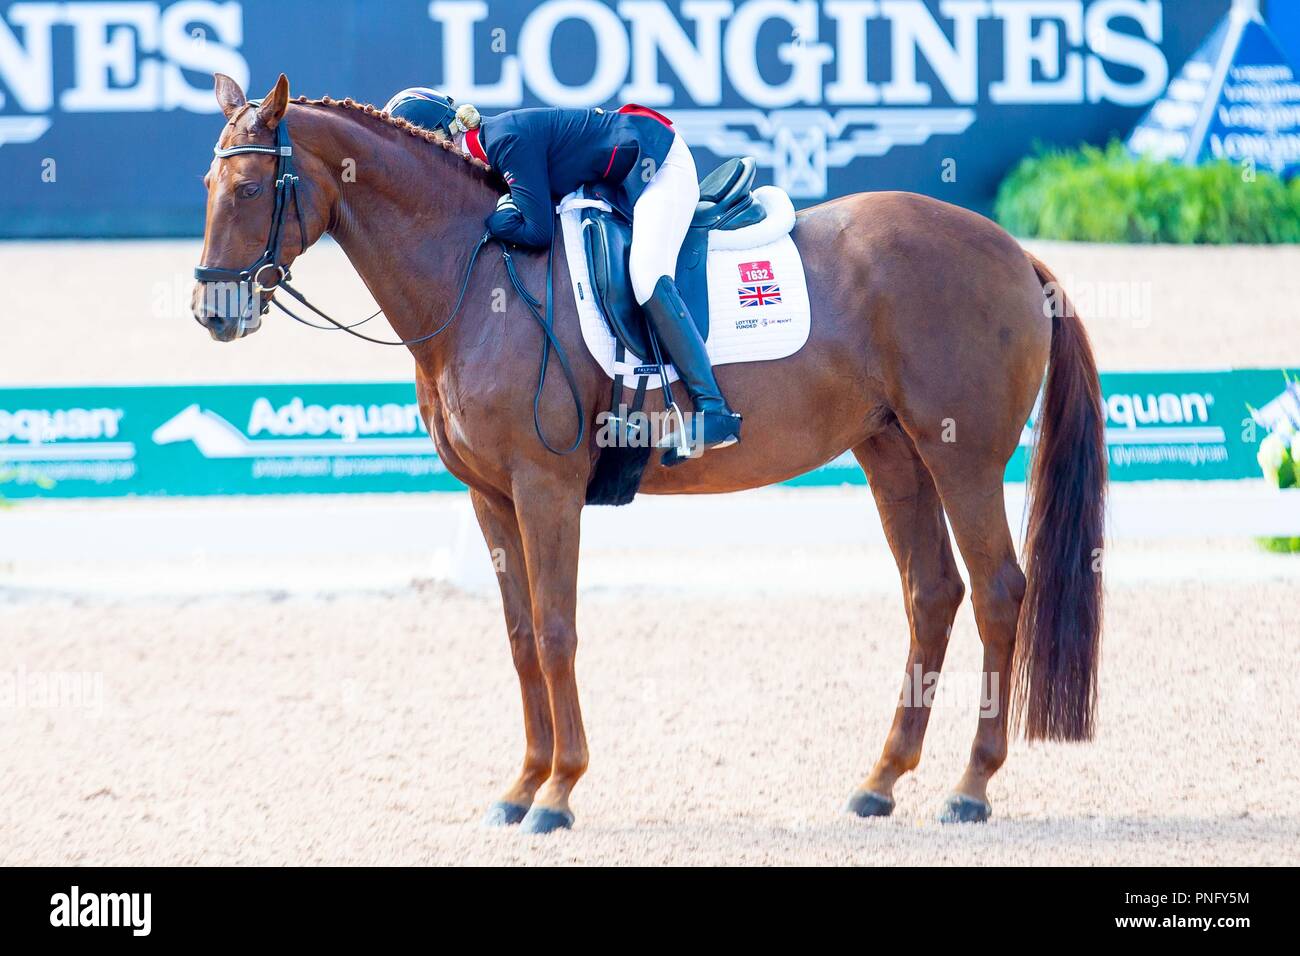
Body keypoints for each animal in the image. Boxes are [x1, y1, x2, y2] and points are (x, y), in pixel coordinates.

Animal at [195, 74, 1107, 832]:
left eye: (249, 189)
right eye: (208, 189)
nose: (213, 313)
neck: (475, 274)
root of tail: (1011, 249)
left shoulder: (545, 486)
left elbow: (556, 630)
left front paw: (558, 793)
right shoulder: (490, 496)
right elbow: (520, 636)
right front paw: (520, 787)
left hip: (964, 457)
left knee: (997, 592)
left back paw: (970, 787)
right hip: (892, 451)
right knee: (932, 593)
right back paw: (880, 782)